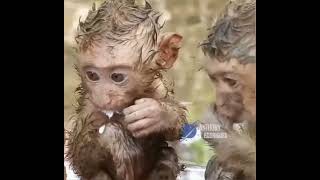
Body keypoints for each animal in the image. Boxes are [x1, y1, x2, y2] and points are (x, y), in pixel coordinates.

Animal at [66, 0, 186, 180]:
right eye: (92, 75)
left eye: (117, 77)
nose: (103, 98)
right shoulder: (89, 106)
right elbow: (80, 159)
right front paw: (113, 138)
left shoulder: (157, 87)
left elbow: (177, 130)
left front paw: (156, 114)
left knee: (168, 157)